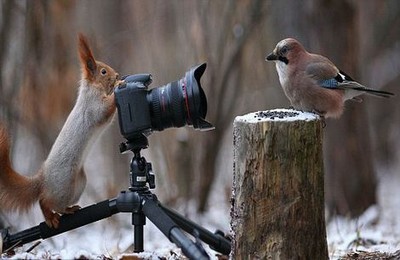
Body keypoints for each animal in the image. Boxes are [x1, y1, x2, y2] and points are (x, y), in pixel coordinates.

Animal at [0, 34, 119, 228]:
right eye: (103, 71)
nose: (117, 75)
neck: (92, 89)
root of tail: (42, 180)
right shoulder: (93, 107)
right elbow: (104, 111)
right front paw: (119, 88)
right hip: (64, 185)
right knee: (44, 201)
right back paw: (50, 217)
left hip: (78, 184)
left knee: (57, 204)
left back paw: (69, 209)